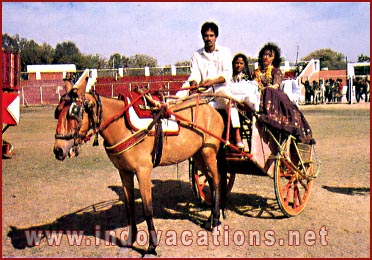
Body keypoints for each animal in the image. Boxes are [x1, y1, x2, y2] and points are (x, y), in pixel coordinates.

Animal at [52, 71, 224, 256]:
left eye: (74, 112)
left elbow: (147, 209)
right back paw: (210, 220)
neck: (122, 125)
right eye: (57, 112)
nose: (58, 150)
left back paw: (215, 223)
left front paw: (152, 247)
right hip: (198, 155)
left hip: (208, 153)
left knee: (216, 182)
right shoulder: (124, 171)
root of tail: (212, 110)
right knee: (211, 181)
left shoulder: (143, 171)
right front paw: (129, 241)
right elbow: (129, 207)